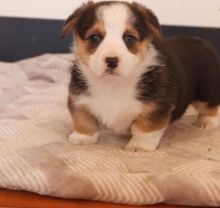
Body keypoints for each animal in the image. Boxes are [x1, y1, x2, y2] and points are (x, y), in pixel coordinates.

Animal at [61, 1, 220, 151]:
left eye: (129, 38)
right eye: (94, 37)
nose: (112, 61)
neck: (113, 84)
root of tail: (203, 42)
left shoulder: (156, 107)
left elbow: (144, 129)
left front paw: (139, 147)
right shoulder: (78, 100)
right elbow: (84, 121)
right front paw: (82, 139)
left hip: (206, 93)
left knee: (211, 107)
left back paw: (207, 122)